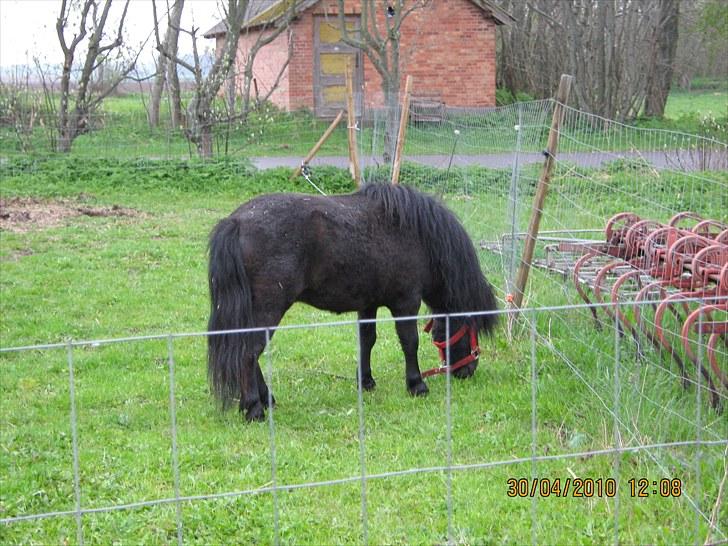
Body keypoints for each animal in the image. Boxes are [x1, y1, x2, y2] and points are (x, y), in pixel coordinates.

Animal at [208, 183, 498, 420]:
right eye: (471, 327)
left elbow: (367, 340)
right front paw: (416, 384)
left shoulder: (368, 304)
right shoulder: (406, 303)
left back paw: (265, 399)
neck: (417, 236)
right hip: (269, 308)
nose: (468, 370)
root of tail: (236, 221)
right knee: (249, 352)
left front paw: (366, 381)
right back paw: (254, 408)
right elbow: (409, 342)